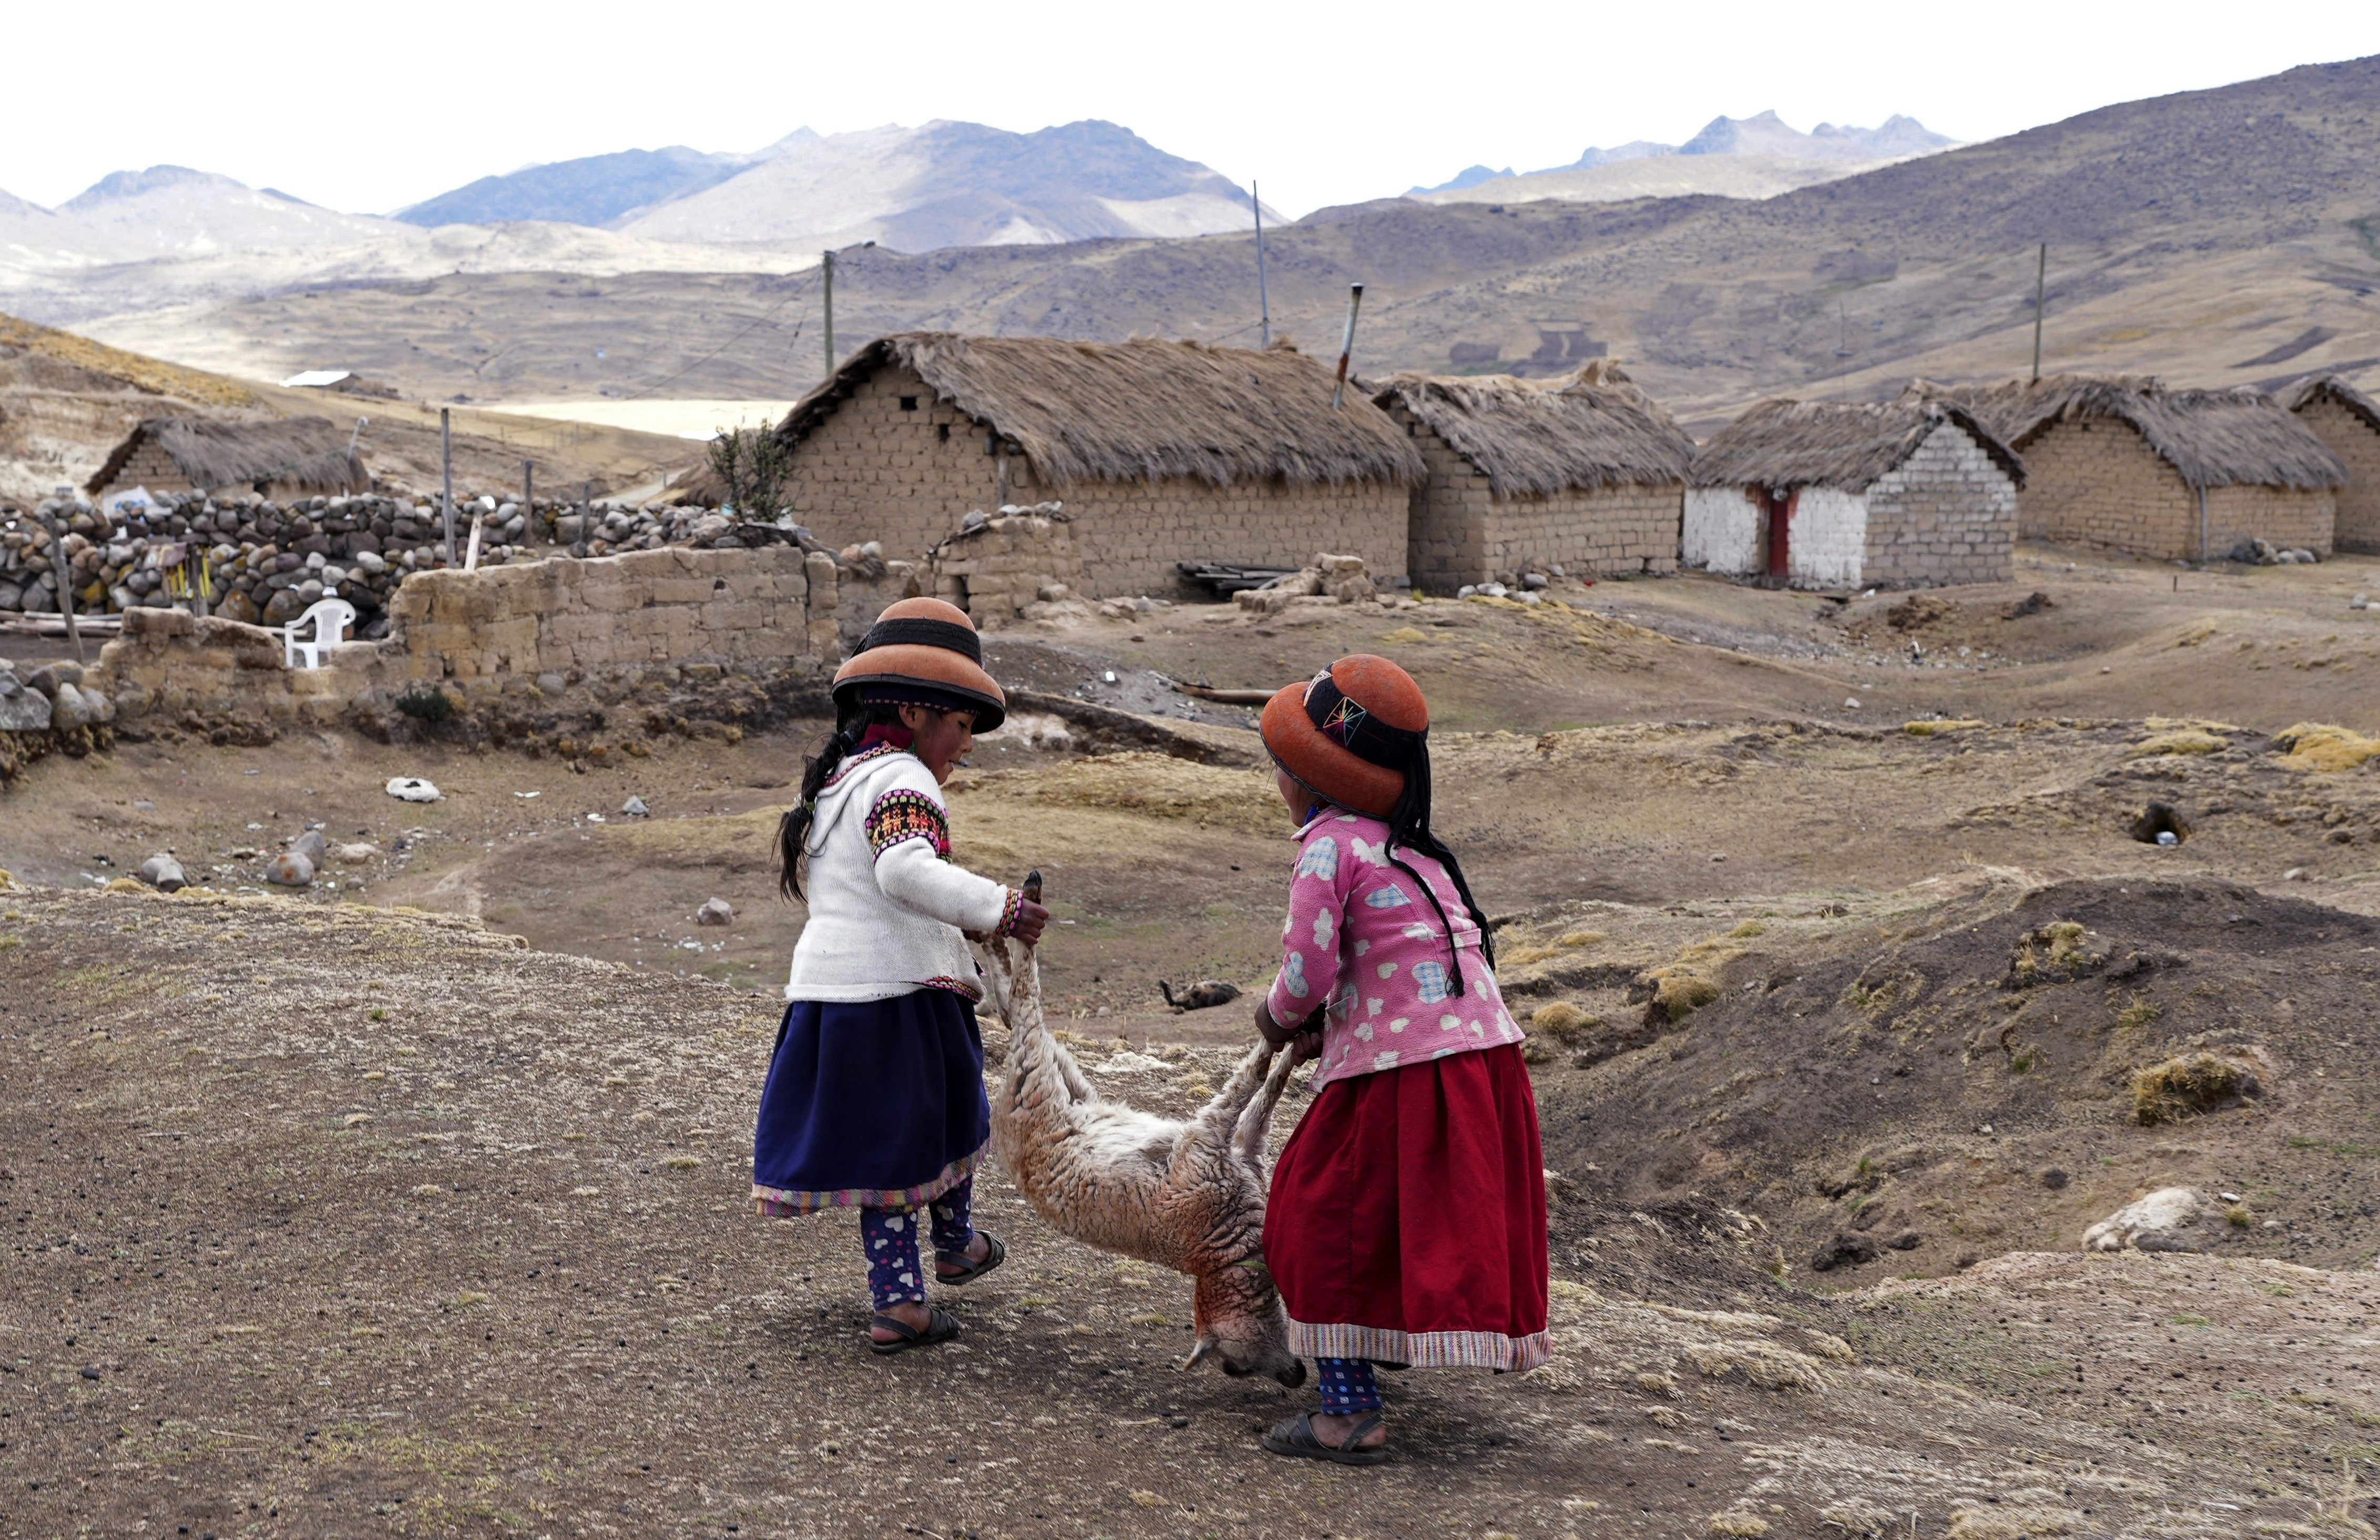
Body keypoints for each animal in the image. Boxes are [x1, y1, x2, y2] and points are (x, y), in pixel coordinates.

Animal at [977, 872, 1306, 1387]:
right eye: (1240, 1367)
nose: (1296, 1375)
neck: (1218, 1244)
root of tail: (1004, 1128)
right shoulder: (1205, 1145)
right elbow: (1247, 1084)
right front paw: (1283, 1043)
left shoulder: (1241, 1150)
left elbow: (1263, 1095)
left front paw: (1297, 1044)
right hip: (1034, 1081)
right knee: (1025, 1003)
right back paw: (1024, 908)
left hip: (1068, 1083)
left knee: (1017, 1009)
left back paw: (1000, 930)